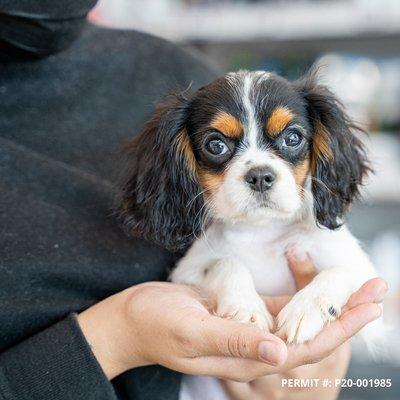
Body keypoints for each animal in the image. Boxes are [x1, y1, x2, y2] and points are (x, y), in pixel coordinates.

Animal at [117, 69, 380, 344]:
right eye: (216, 145)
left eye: (292, 138)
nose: (260, 176)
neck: (261, 228)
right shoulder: (187, 273)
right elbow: (226, 264)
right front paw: (246, 308)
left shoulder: (360, 269)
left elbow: (341, 271)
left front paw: (306, 308)